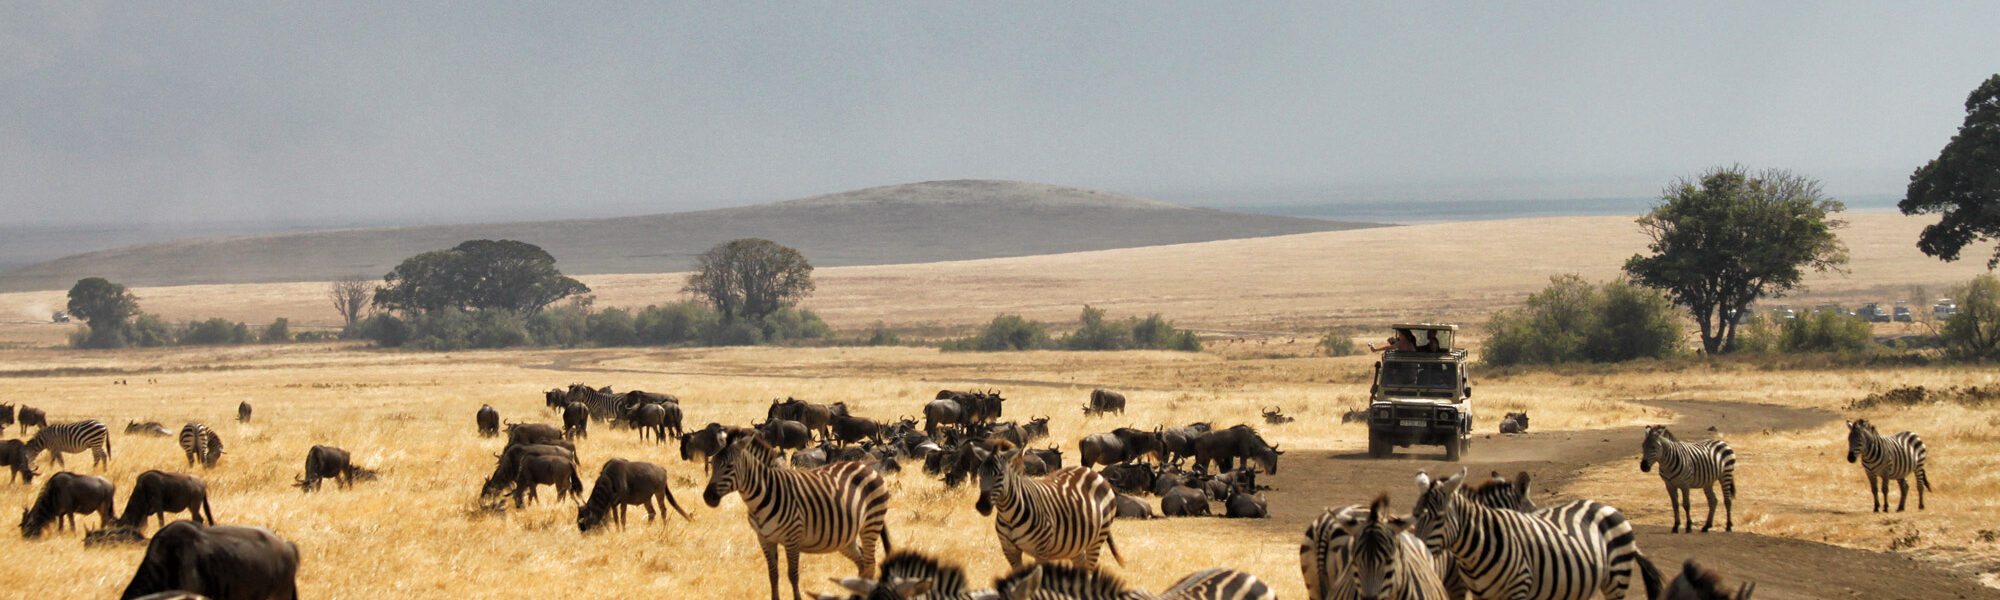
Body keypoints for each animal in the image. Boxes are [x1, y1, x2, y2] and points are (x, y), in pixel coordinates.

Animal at [704, 424, 892, 600]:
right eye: (713, 465)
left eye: (729, 466)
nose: (707, 497)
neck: (762, 498)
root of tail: (865, 466)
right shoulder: (764, 539)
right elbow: (773, 575)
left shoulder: (792, 537)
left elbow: (793, 575)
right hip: (846, 536)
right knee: (862, 564)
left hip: (871, 524)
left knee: (870, 564)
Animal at [980, 442, 1136, 568]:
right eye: (980, 474)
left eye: (1000, 475)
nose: (982, 505)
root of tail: (1091, 472)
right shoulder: (1011, 551)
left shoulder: (1041, 550)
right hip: (1077, 542)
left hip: (1096, 538)